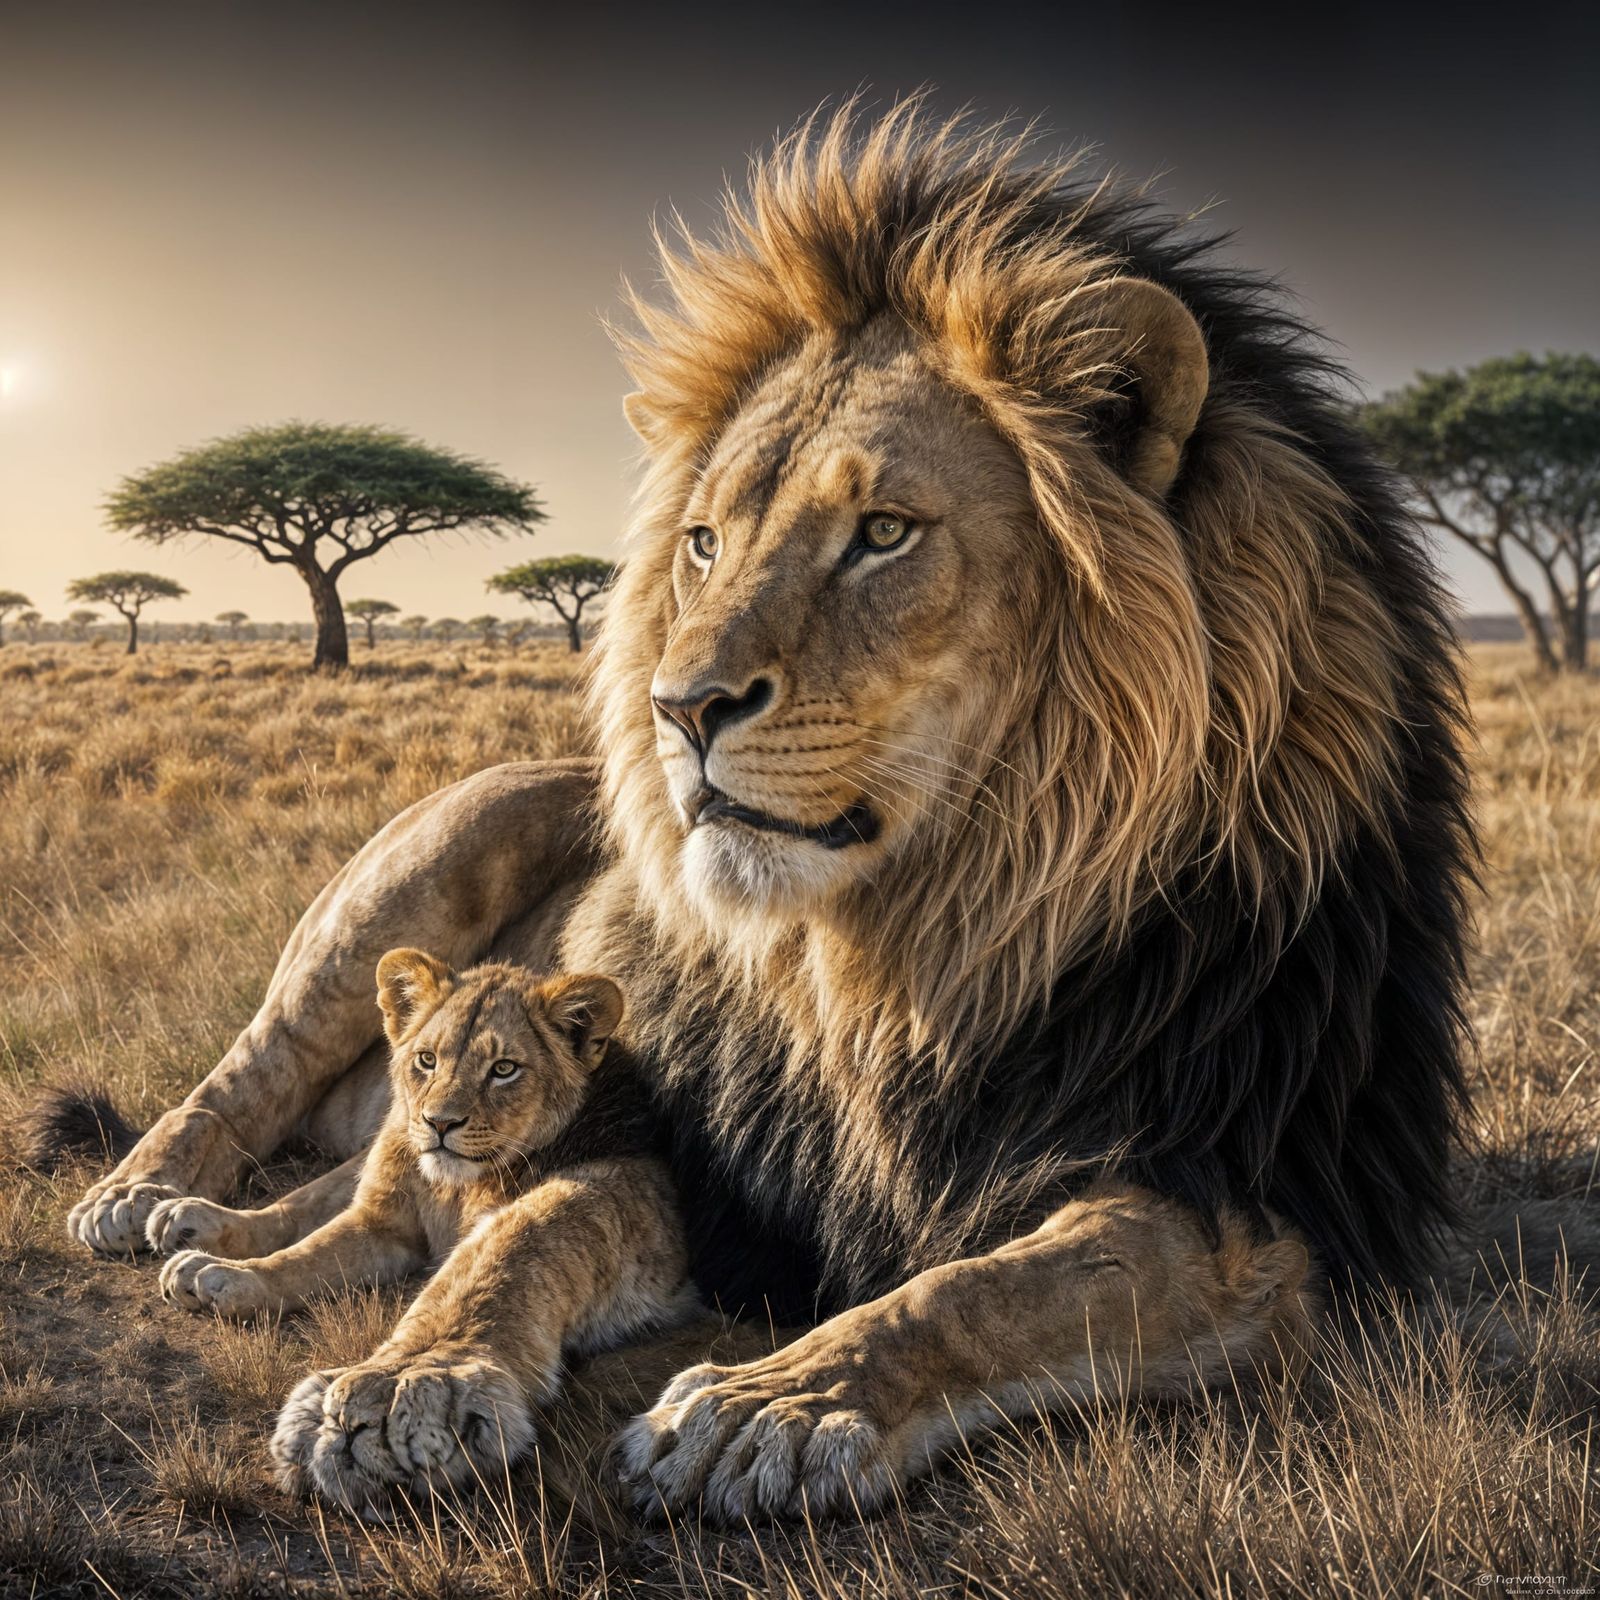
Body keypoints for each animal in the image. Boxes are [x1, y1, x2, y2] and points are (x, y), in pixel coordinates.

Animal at [65, 102, 1471, 1523]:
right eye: (703, 543)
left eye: (885, 532)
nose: (679, 706)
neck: (918, 949)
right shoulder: (667, 1156)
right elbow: (510, 1246)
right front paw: (404, 1384)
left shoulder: (1255, 1195)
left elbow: (990, 1286)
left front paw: (770, 1403)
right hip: (405, 884)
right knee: (247, 1079)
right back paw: (144, 1199)